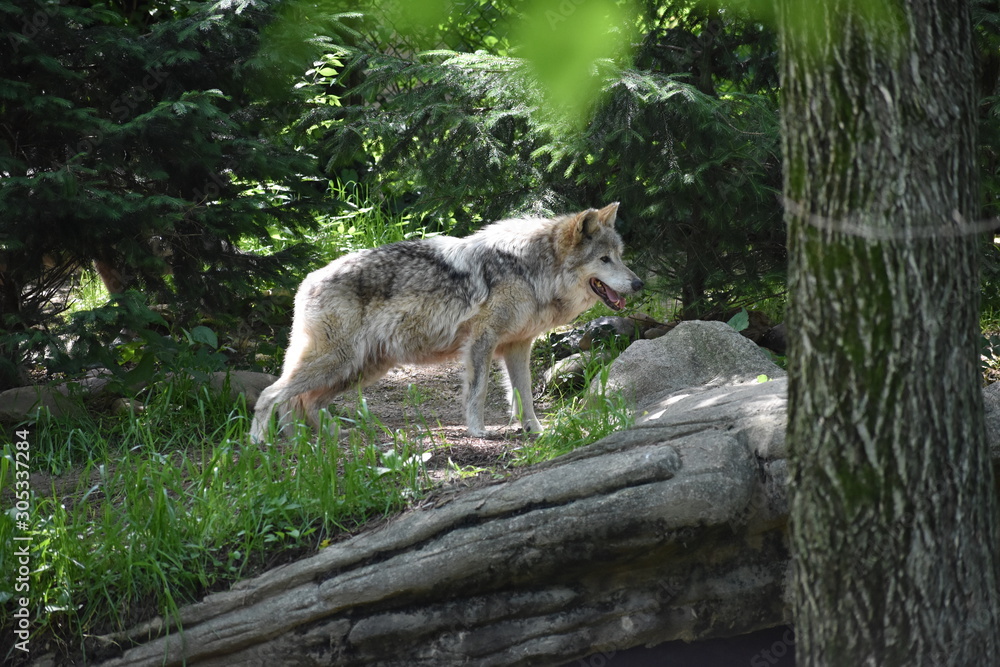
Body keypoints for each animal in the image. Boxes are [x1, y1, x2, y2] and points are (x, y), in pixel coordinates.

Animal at [250, 202, 643, 441]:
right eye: (604, 259)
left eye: (620, 256)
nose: (639, 283)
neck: (531, 270)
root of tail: (307, 280)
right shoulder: (481, 342)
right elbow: (479, 391)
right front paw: (478, 432)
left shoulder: (516, 347)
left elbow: (524, 395)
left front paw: (535, 431)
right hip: (338, 363)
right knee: (273, 394)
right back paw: (261, 442)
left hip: (358, 369)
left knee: (304, 402)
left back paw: (320, 440)